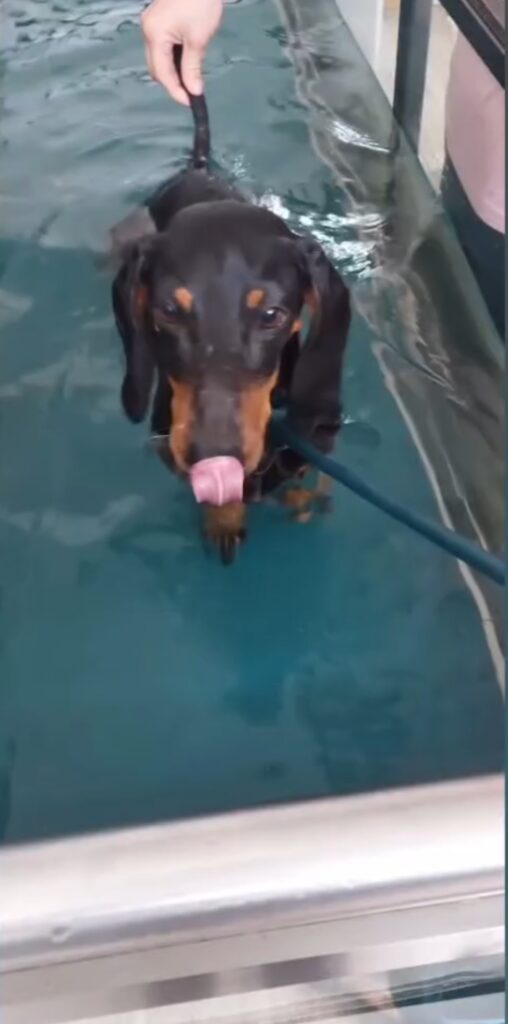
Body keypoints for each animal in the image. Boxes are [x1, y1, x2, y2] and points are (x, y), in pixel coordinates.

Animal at [111, 47, 351, 564]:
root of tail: (198, 169)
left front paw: (302, 500)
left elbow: (306, 472)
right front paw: (224, 519)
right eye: (168, 311)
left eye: (272, 315)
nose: (212, 453)